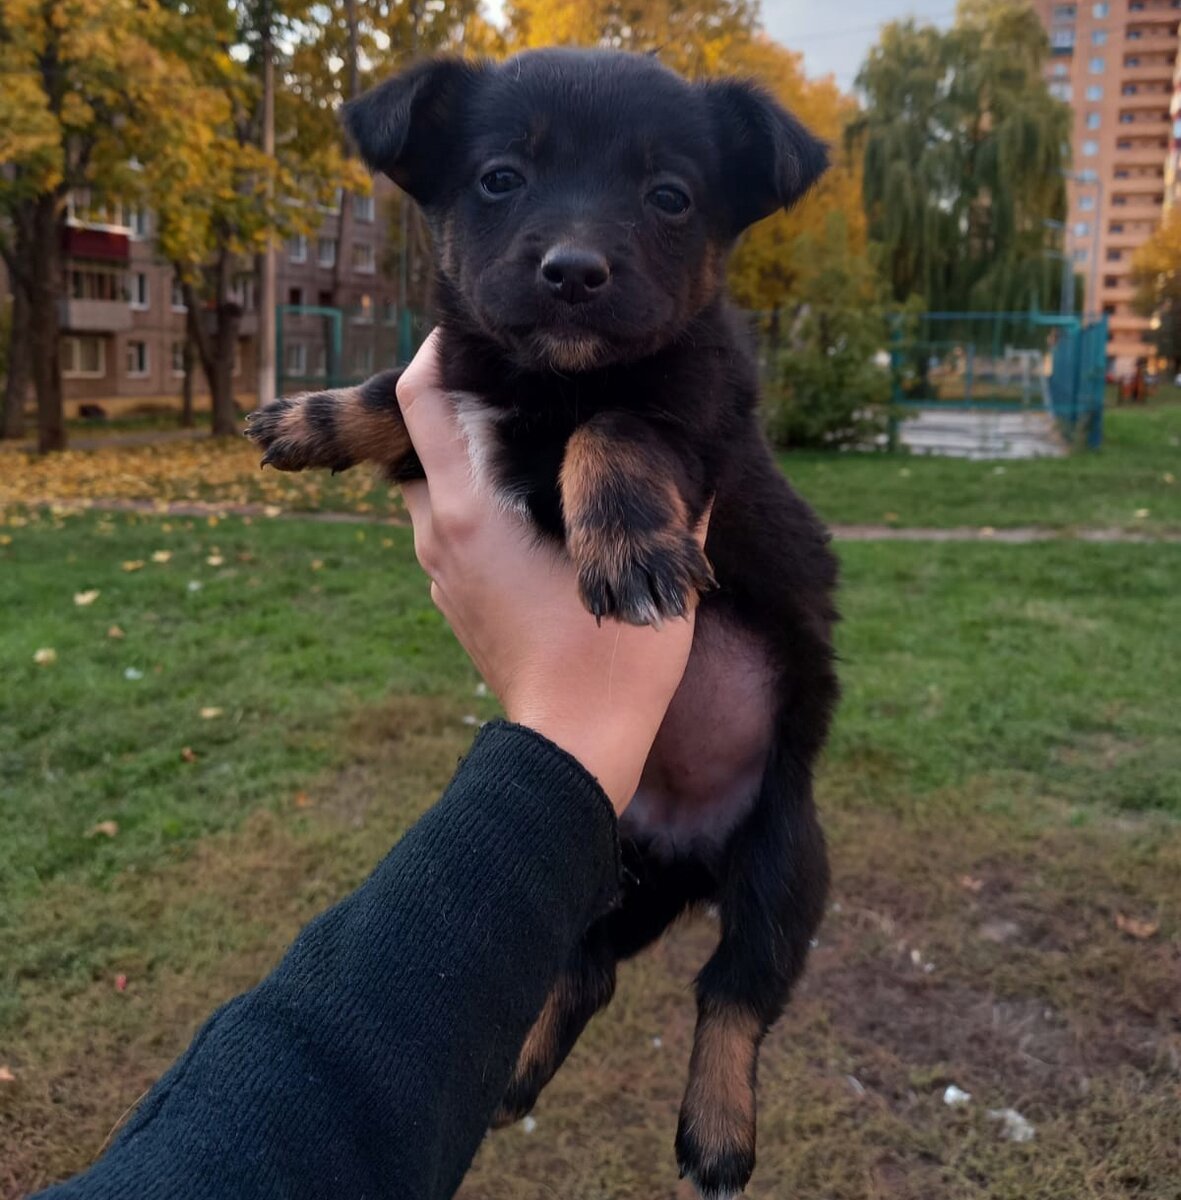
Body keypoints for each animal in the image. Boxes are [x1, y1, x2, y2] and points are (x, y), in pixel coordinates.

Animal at [249, 49, 840, 1200]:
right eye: (499, 178)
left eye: (668, 196)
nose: (573, 272)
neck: (543, 376)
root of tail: (685, 852)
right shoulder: (456, 387)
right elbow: (399, 386)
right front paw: (312, 416)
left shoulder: (695, 407)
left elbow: (613, 426)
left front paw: (629, 542)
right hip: (595, 869)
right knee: (585, 974)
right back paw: (515, 1069)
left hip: (784, 865)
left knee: (732, 994)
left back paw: (716, 1133)